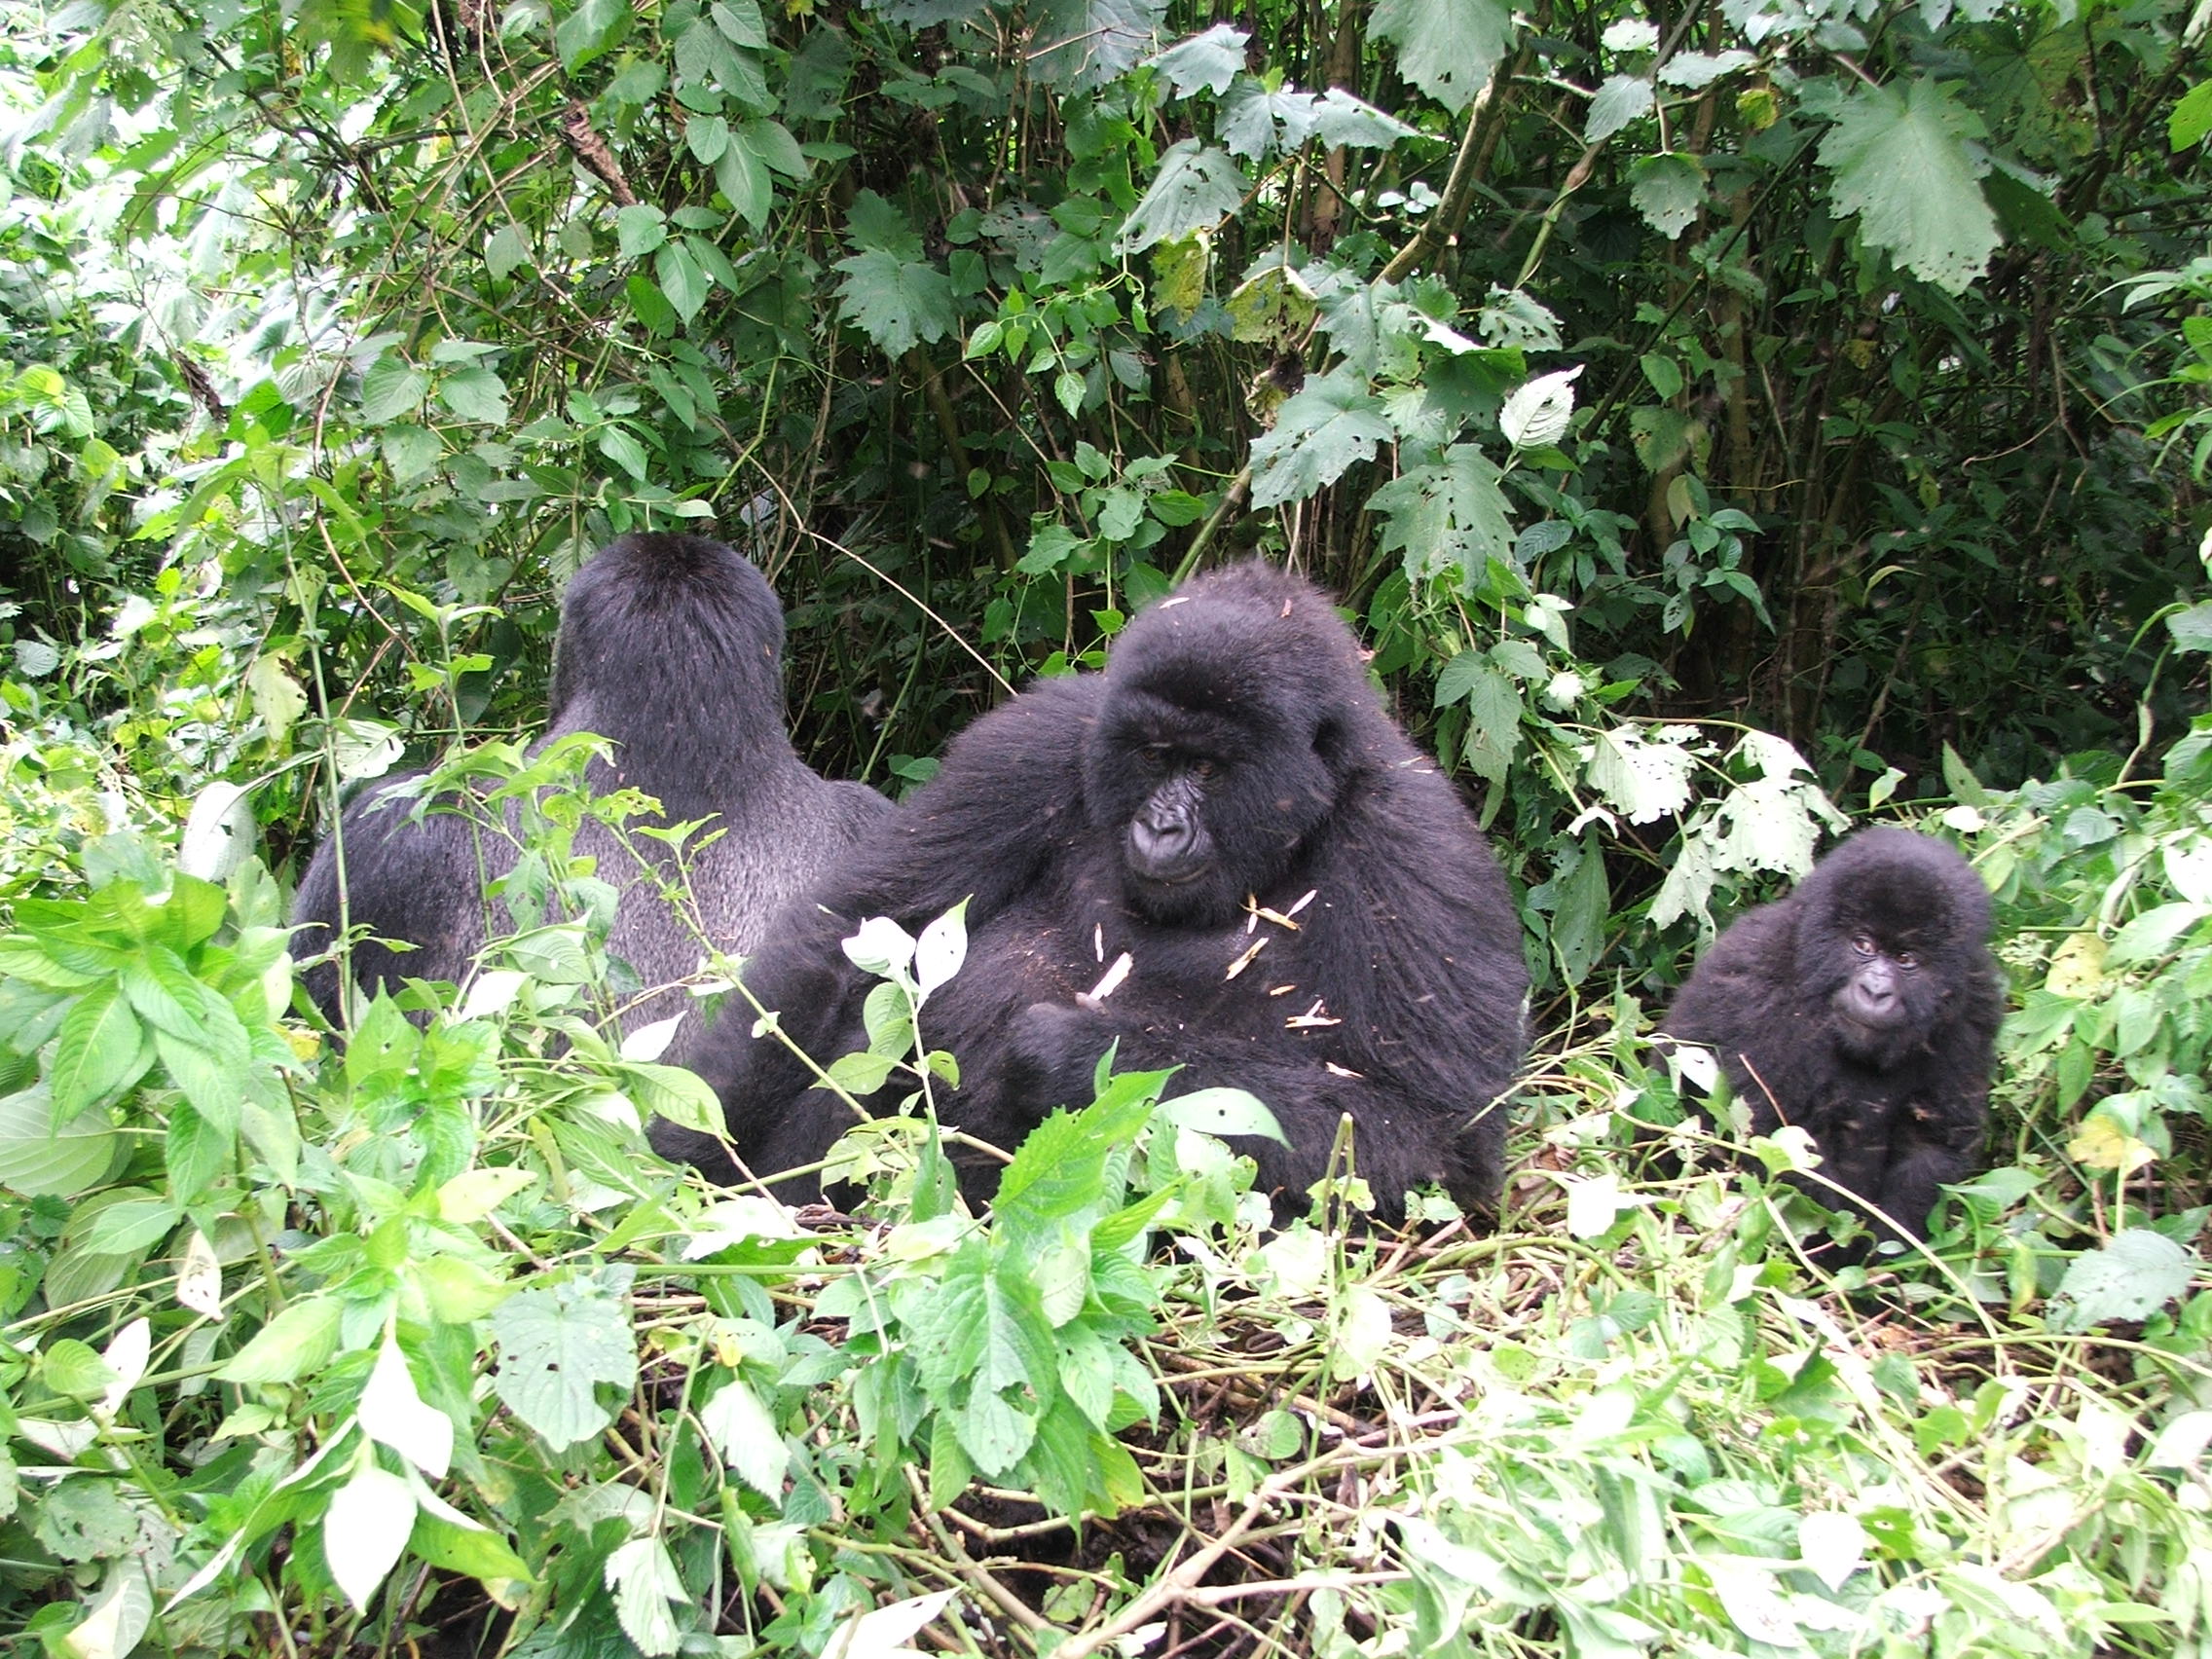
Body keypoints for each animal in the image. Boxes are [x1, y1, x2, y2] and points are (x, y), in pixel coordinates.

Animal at [668, 559, 1539, 1221]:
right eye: (1154, 755)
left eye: (1208, 768)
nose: (1161, 827)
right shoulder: (1041, 740)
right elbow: (848, 935)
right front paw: (685, 1147)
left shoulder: (1417, 845)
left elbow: (1432, 1140)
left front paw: (1065, 1050)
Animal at [1663, 827, 2008, 1256]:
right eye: (1864, 945)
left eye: (1906, 958)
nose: (1875, 991)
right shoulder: (1758, 982)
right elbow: (1779, 1142)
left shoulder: (1972, 1004)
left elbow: (1932, 1143)